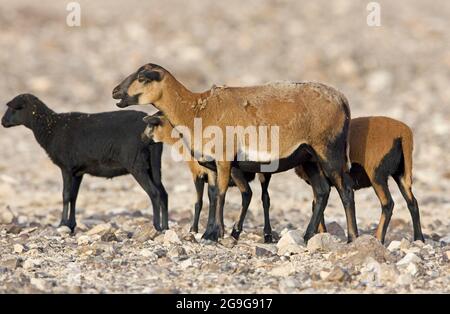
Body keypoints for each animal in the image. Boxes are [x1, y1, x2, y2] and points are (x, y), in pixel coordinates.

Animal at [0, 93, 169, 233]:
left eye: (13, 108)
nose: (2, 122)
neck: (50, 128)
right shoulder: (78, 172)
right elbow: (74, 196)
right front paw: (71, 225)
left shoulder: (66, 168)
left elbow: (65, 195)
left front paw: (61, 224)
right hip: (154, 166)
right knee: (163, 193)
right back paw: (165, 227)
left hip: (137, 165)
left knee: (154, 193)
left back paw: (157, 227)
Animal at [113, 62, 358, 243]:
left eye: (142, 77)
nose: (115, 91)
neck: (194, 110)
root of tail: (342, 99)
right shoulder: (210, 165)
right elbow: (212, 195)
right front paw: (209, 233)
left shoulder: (224, 159)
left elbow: (221, 194)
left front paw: (215, 234)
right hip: (309, 157)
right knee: (322, 191)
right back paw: (307, 236)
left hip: (328, 150)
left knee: (345, 190)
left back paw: (352, 237)